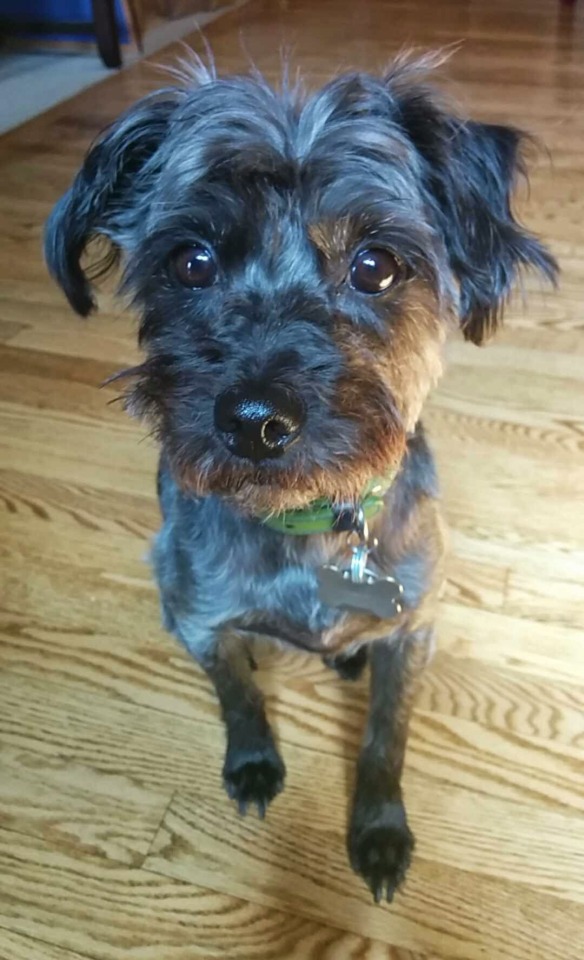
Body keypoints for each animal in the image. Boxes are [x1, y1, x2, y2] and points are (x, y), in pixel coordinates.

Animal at [44, 52, 556, 904]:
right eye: (191, 261)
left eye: (375, 266)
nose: (254, 419)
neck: (310, 521)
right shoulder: (201, 617)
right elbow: (238, 695)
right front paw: (253, 762)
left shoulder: (414, 629)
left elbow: (387, 738)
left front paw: (379, 832)